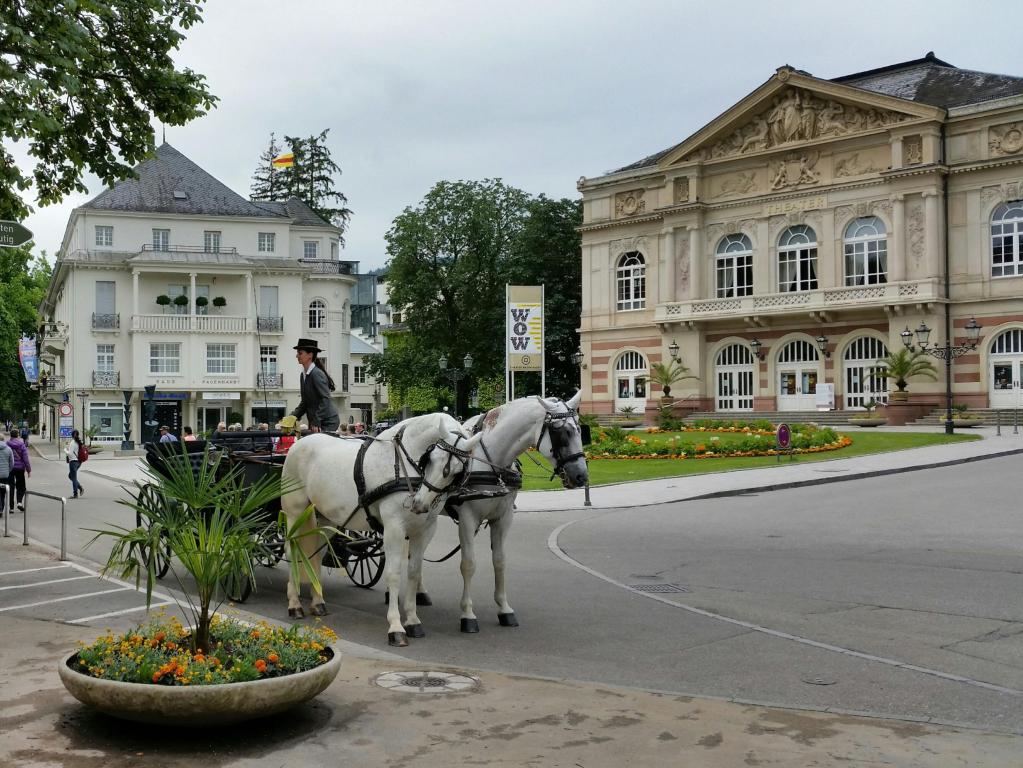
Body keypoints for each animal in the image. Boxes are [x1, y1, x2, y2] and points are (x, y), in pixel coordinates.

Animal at [282, 411, 480, 646]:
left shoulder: (424, 530)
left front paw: (412, 620)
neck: (402, 463)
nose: (420, 504)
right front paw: (396, 627)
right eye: (431, 459)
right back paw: (294, 604)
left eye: (456, 472)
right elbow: (394, 574)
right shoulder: (393, 528)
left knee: (317, 554)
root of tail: (299, 442)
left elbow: (414, 573)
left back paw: (318, 601)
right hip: (294, 513)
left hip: (326, 517)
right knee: (292, 551)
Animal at [417, 392, 593, 634]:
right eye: (561, 432)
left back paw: (419, 592)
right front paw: (467, 614)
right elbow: (468, 564)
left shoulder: (503, 518)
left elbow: (499, 561)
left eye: (579, 430)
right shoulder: (467, 520)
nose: (581, 476)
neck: (491, 463)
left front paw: (504, 609)